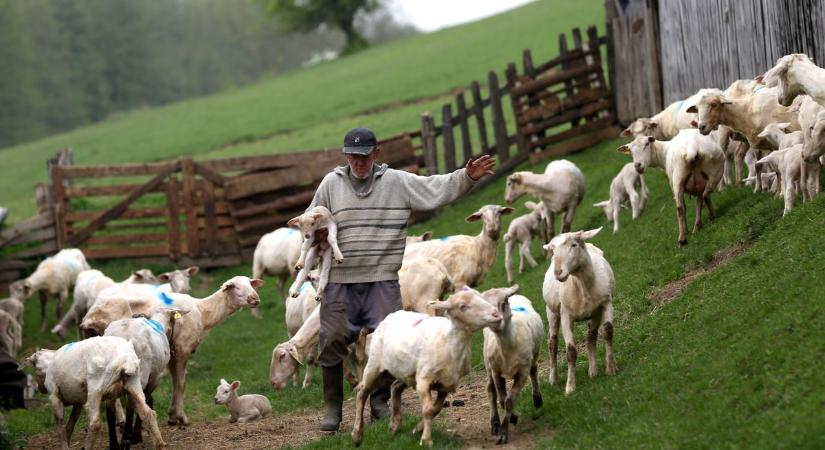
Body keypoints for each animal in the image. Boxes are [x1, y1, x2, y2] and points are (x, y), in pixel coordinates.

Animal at [21, 338, 167, 450]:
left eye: (35, 368)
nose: (40, 388)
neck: (49, 365)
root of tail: (125, 360)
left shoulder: (54, 396)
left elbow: (61, 425)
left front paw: (65, 446)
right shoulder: (78, 401)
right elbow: (70, 425)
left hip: (95, 387)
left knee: (95, 422)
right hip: (134, 383)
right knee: (148, 413)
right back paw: (160, 445)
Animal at [79, 274, 262, 426]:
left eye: (250, 284)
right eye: (235, 287)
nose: (255, 299)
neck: (203, 312)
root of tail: (91, 318)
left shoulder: (172, 353)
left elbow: (175, 381)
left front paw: (172, 416)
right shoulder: (183, 348)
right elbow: (181, 383)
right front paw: (181, 418)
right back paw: (121, 418)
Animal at [350, 288, 502, 446]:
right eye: (463, 306)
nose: (496, 315)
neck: (450, 341)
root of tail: (390, 316)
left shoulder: (446, 384)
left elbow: (436, 409)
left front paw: (418, 429)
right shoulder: (424, 381)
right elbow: (428, 410)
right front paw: (426, 439)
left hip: (407, 372)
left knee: (395, 387)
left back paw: (394, 425)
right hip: (374, 364)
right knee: (362, 393)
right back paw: (357, 434)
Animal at [480, 284, 544, 442]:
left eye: (503, 302)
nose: (495, 320)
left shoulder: (522, 372)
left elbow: (509, 401)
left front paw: (504, 431)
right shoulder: (496, 371)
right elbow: (503, 400)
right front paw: (510, 420)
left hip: (535, 353)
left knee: (534, 370)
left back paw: (537, 399)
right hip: (487, 363)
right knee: (491, 390)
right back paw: (494, 423)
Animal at [540, 229, 612, 394]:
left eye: (574, 245)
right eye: (553, 252)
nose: (558, 273)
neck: (582, 285)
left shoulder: (605, 304)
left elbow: (608, 331)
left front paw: (611, 368)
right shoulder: (566, 315)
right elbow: (571, 352)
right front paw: (570, 387)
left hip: (594, 314)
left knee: (591, 337)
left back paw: (593, 371)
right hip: (551, 312)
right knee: (552, 343)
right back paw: (553, 379)